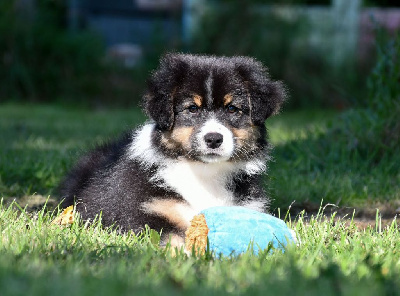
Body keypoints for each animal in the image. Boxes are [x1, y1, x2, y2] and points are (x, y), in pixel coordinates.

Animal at [59, 53, 286, 247]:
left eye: (232, 109)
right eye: (192, 108)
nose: (213, 139)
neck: (205, 172)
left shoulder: (246, 208)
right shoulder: (145, 210)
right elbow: (170, 237)